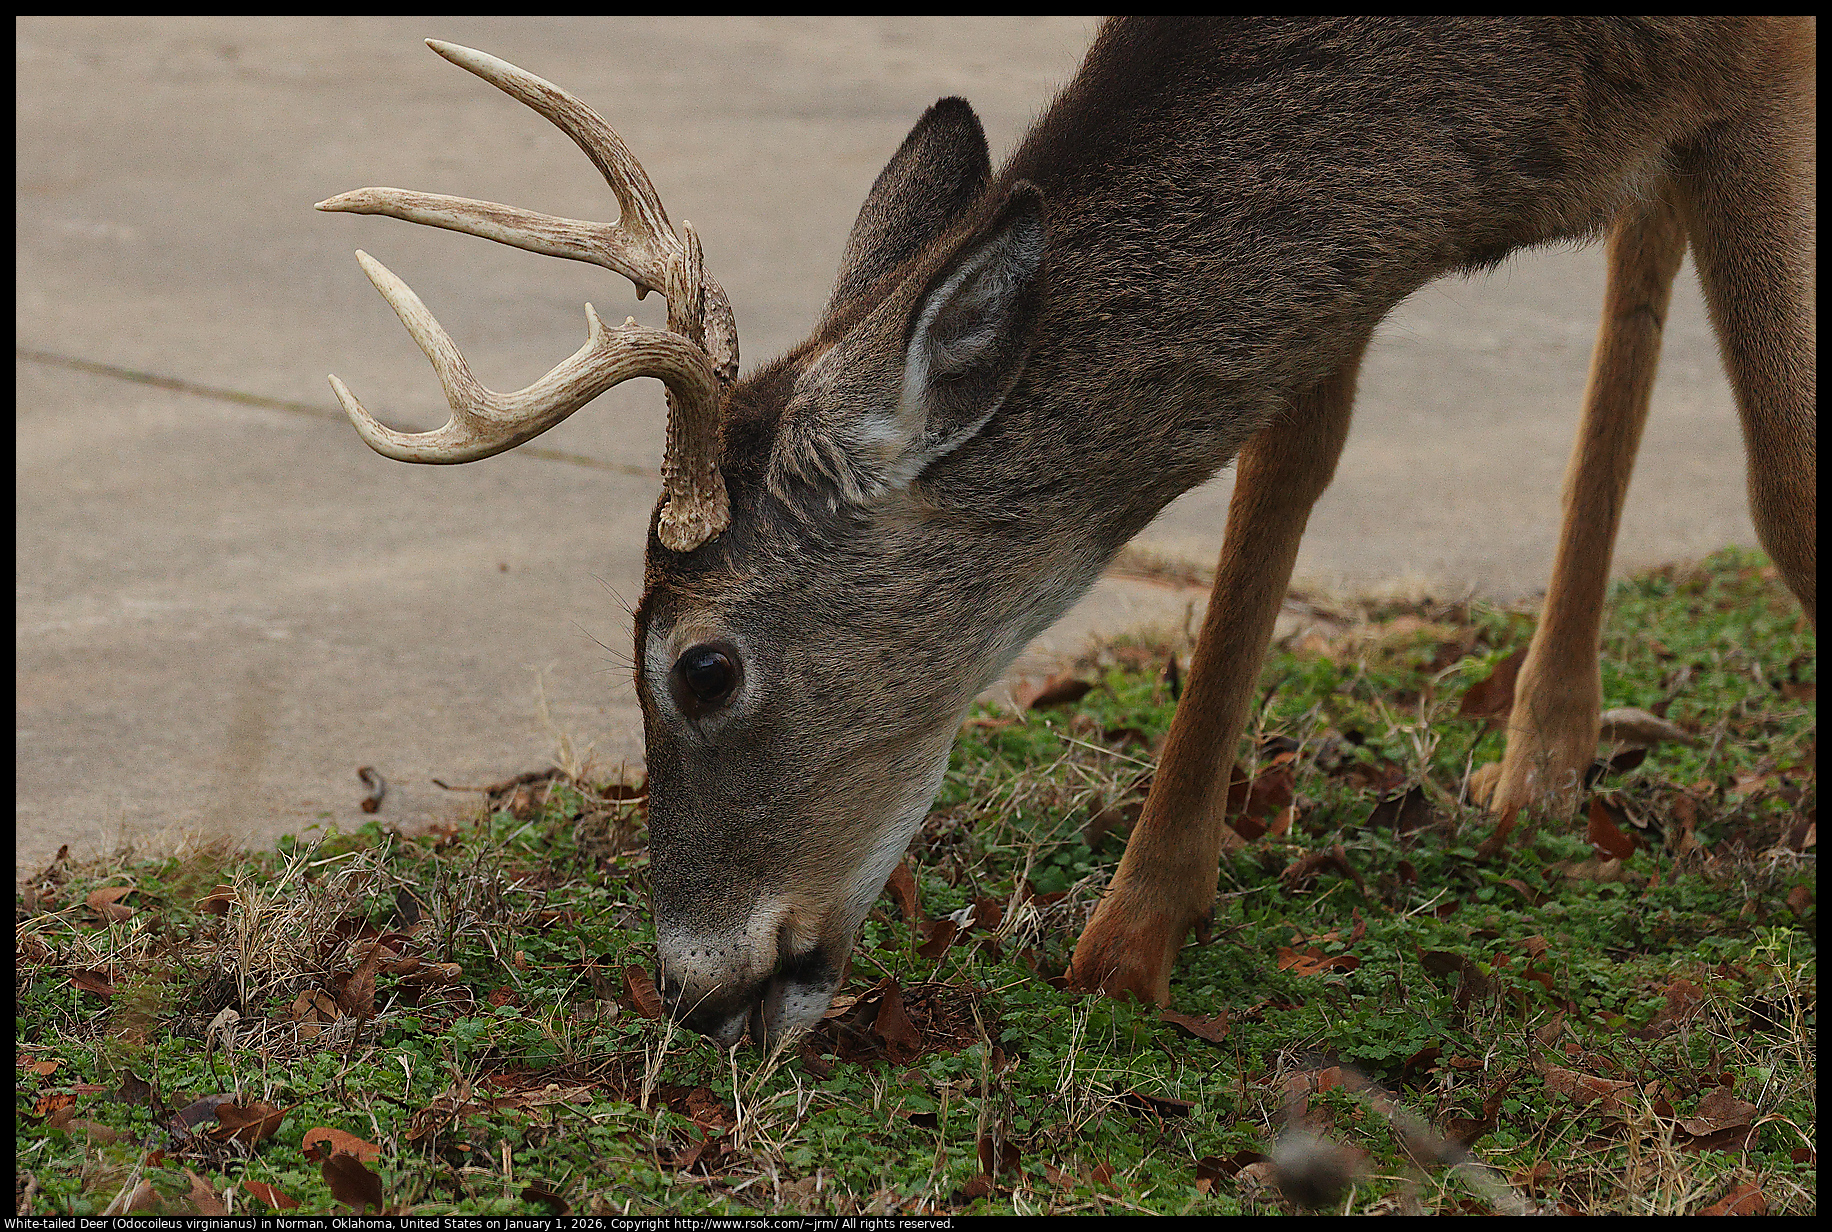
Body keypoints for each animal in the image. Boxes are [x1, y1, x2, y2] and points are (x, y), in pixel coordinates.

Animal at [318, 18, 1814, 1046]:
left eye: (703, 667)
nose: (691, 987)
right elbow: (1282, 467)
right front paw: (1140, 925)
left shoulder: (1753, 67)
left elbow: (1785, 483)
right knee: (1638, 243)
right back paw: (1545, 748)